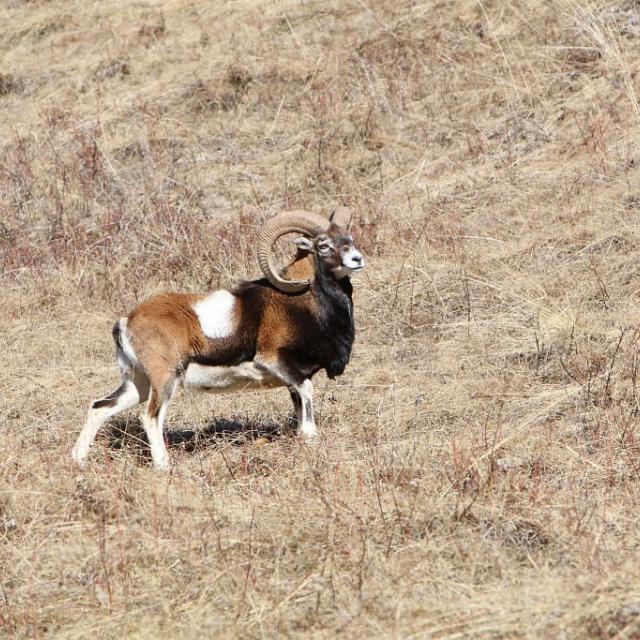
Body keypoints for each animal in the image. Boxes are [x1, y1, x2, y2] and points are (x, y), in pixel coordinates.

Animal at [71, 210, 364, 470]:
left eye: (348, 239)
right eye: (323, 245)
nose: (357, 259)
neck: (299, 301)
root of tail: (126, 322)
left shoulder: (294, 377)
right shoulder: (276, 361)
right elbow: (308, 396)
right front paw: (311, 439)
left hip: (137, 383)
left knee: (99, 407)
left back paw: (78, 461)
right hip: (165, 379)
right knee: (150, 417)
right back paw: (164, 466)